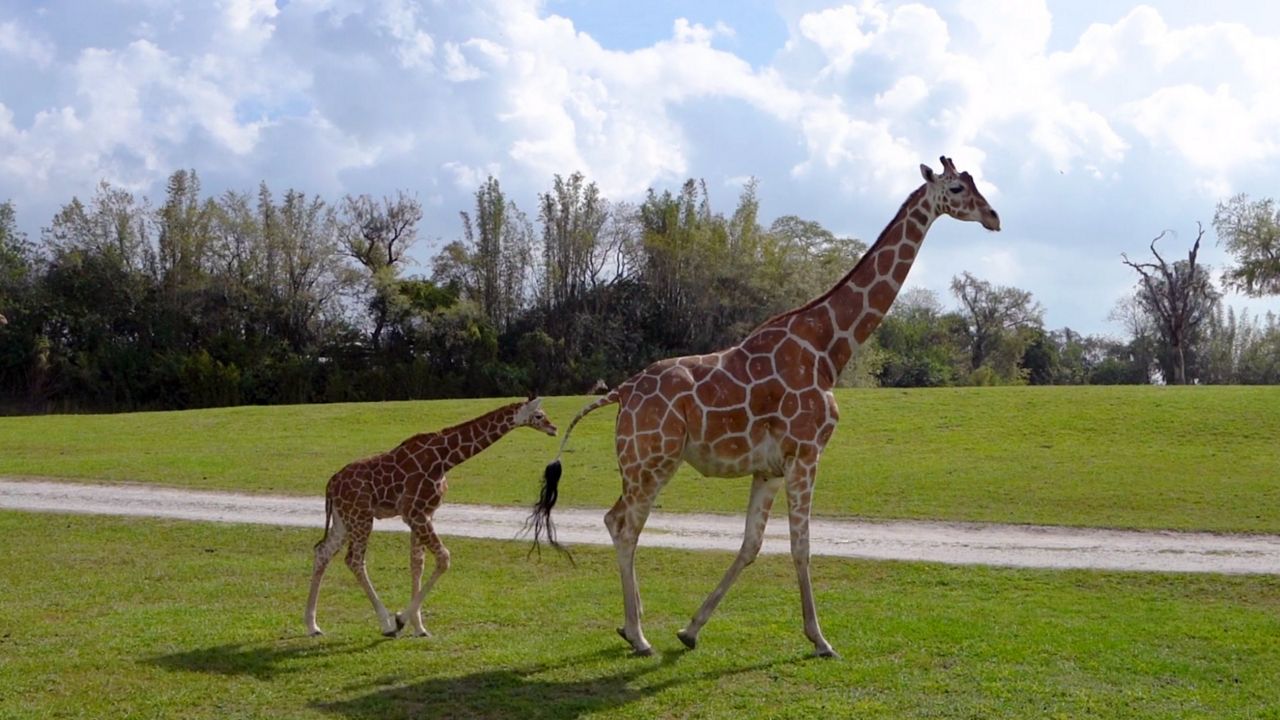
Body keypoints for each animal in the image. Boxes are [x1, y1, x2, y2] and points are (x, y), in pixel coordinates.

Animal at [307, 394, 558, 635]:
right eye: (538, 415)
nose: (553, 428)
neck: (445, 459)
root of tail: (331, 484)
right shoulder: (414, 512)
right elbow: (443, 558)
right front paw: (400, 620)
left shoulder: (424, 513)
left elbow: (417, 563)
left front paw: (419, 627)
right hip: (361, 517)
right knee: (354, 560)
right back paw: (385, 623)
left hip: (344, 518)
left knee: (323, 552)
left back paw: (313, 626)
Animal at [527, 154, 998, 653]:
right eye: (956, 189)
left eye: (974, 183)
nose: (994, 218)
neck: (828, 348)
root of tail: (622, 392)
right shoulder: (806, 453)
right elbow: (801, 546)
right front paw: (820, 639)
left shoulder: (770, 467)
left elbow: (751, 545)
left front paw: (690, 630)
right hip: (652, 461)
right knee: (624, 526)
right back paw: (637, 634)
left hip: (641, 464)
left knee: (618, 522)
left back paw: (632, 628)